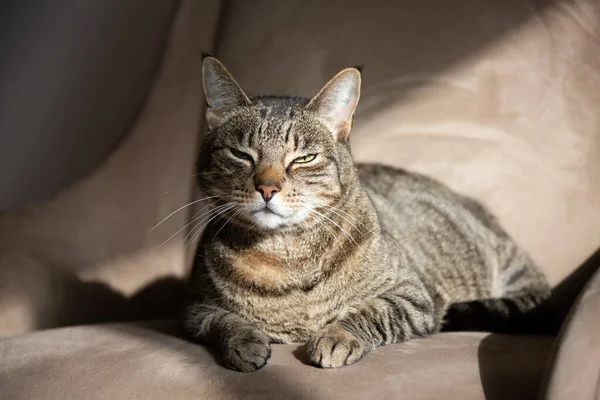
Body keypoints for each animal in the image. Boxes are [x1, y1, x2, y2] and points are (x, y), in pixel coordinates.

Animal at [180, 55, 552, 372]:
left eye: (304, 158)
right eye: (241, 155)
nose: (267, 188)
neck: (286, 255)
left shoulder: (413, 295)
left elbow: (371, 311)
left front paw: (336, 336)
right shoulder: (193, 308)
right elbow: (221, 320)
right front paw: (244, 341)